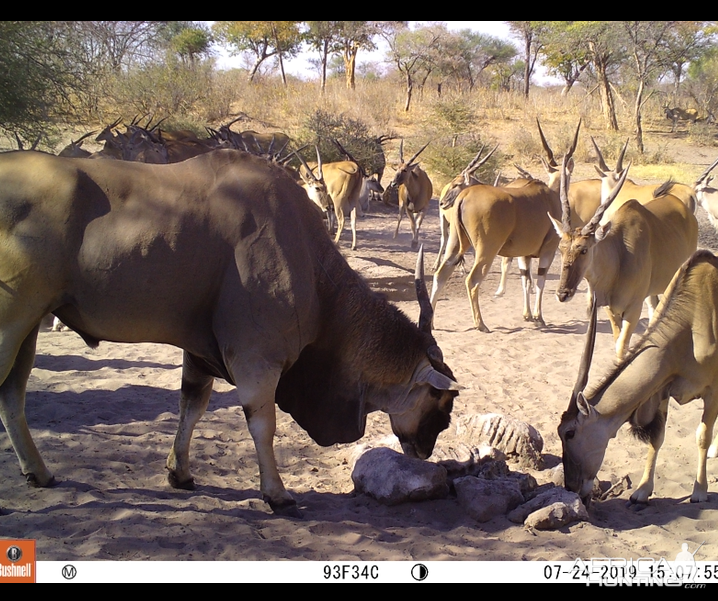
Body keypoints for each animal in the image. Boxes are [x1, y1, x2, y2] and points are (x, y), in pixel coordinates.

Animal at [0, 149, 462, 516]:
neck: (312, 267)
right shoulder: (257, 357)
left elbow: (192, 405)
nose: (425, 450)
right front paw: (276, 494)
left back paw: (39, 472)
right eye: (441, 398)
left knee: (12, 394)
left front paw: (180, 473)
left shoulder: (199, 354)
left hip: (28, 327)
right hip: (13, 320)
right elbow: (263, 424)